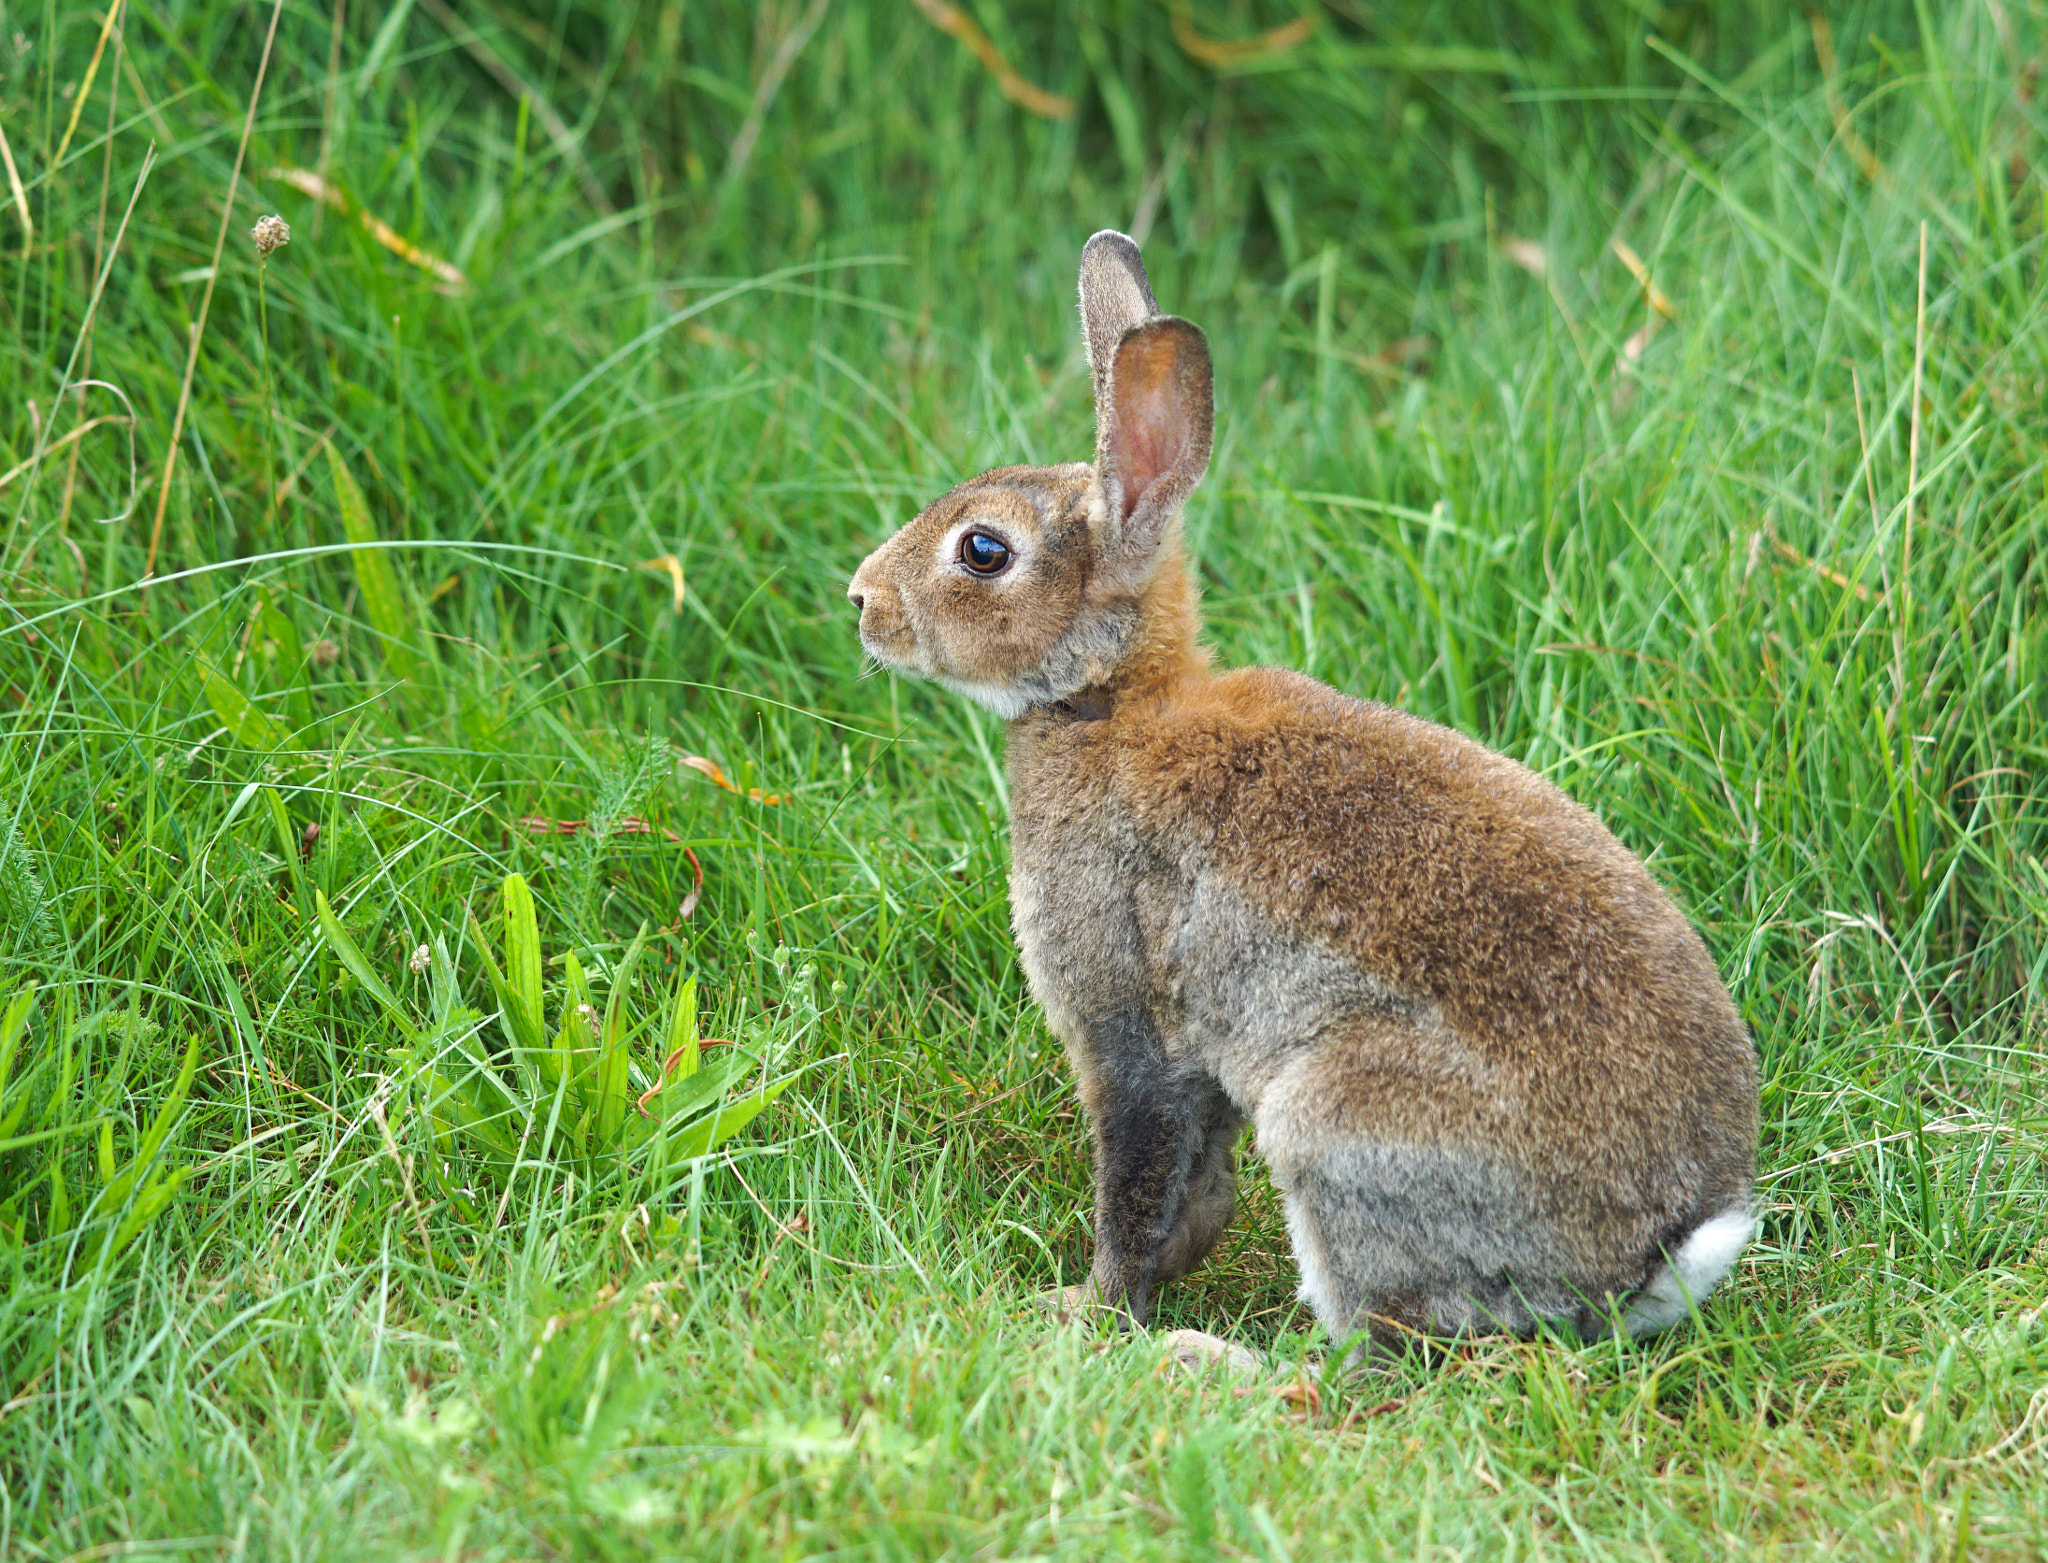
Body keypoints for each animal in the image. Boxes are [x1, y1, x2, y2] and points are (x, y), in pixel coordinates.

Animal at [847, 232, 1761, 1360]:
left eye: (983, 551)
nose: (861, 601)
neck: (1108, 701)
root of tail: (1646, 1260)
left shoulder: (1124, 1019)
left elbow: (1134, 1182)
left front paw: (1087, 1313)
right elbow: (1193, 1192)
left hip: (1337, 1124)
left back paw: (1209, 1363)